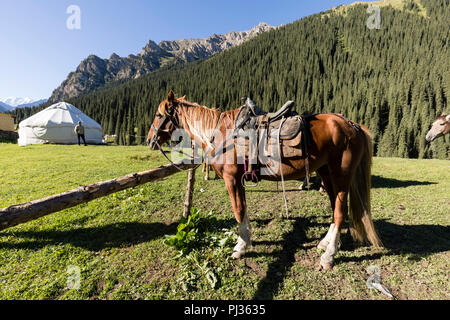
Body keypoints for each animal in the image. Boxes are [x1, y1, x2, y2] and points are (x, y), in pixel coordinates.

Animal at [148, 91, 384, 272]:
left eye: (159, 114)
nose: (150, 139)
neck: (220, 133)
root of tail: (353, 125)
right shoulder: (239, 180)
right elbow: (243, 209)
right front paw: (246, 240)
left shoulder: (231, 179)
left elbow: (238, 210)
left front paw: (240, 247)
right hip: (327, 174)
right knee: (335, 207)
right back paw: (326, 243)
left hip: (341, 176)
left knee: (340, 211)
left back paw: (328, 256)